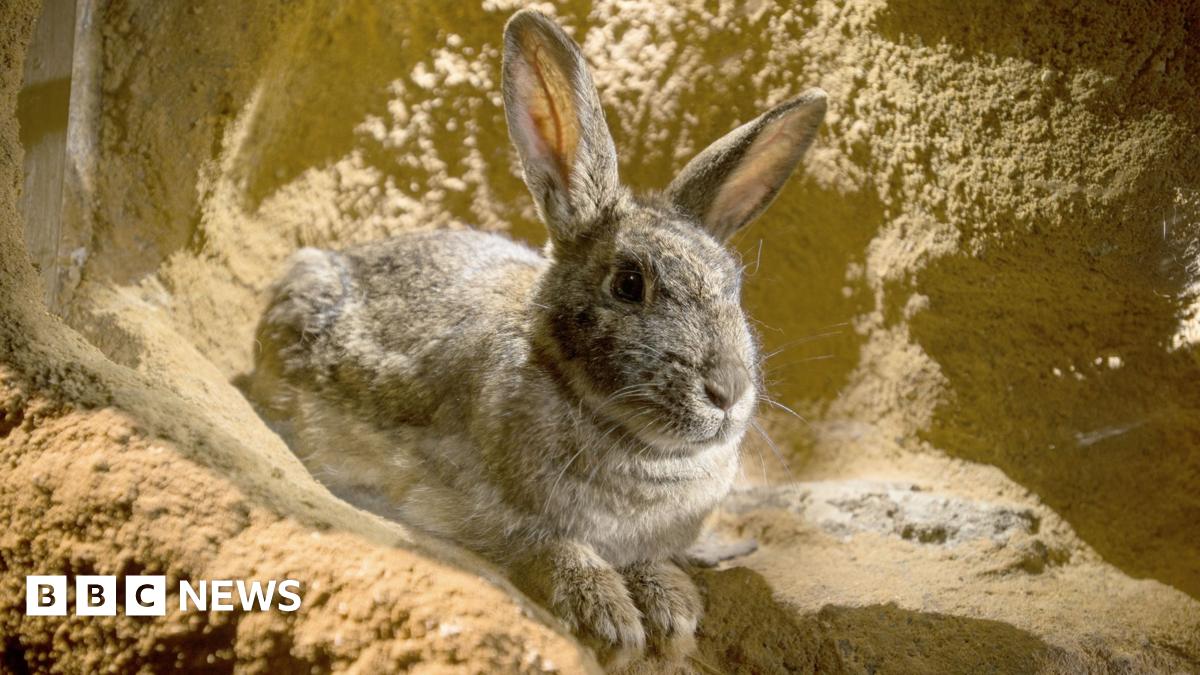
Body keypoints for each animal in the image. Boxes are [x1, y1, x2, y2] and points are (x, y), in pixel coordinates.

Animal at [248, 8, 826, 658]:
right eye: (630, 284)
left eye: (735, 285)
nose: (728, 391)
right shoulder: (481, 512)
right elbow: (550, 547)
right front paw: (612, 619)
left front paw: (670, 609)